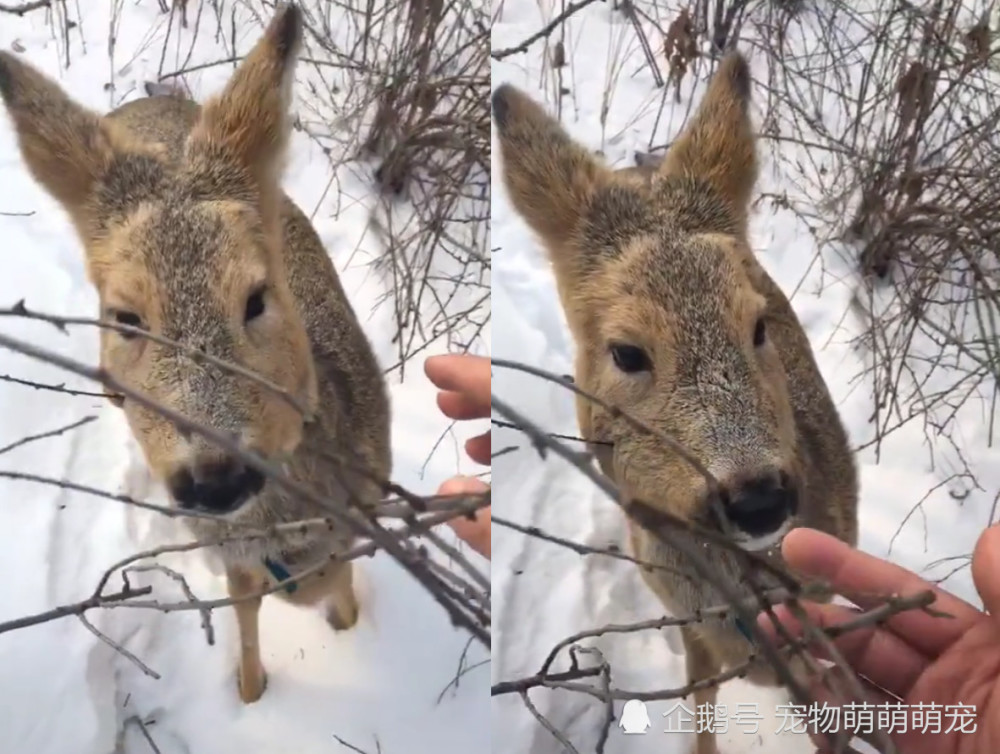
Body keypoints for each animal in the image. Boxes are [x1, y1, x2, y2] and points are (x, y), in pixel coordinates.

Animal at [0, 2, 390, 704]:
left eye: (258, 297)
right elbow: (244, 608)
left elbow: (344, 595)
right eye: (126, 317)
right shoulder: (235, 561)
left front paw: (346, 631)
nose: (214, 477)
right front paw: (251, 693)